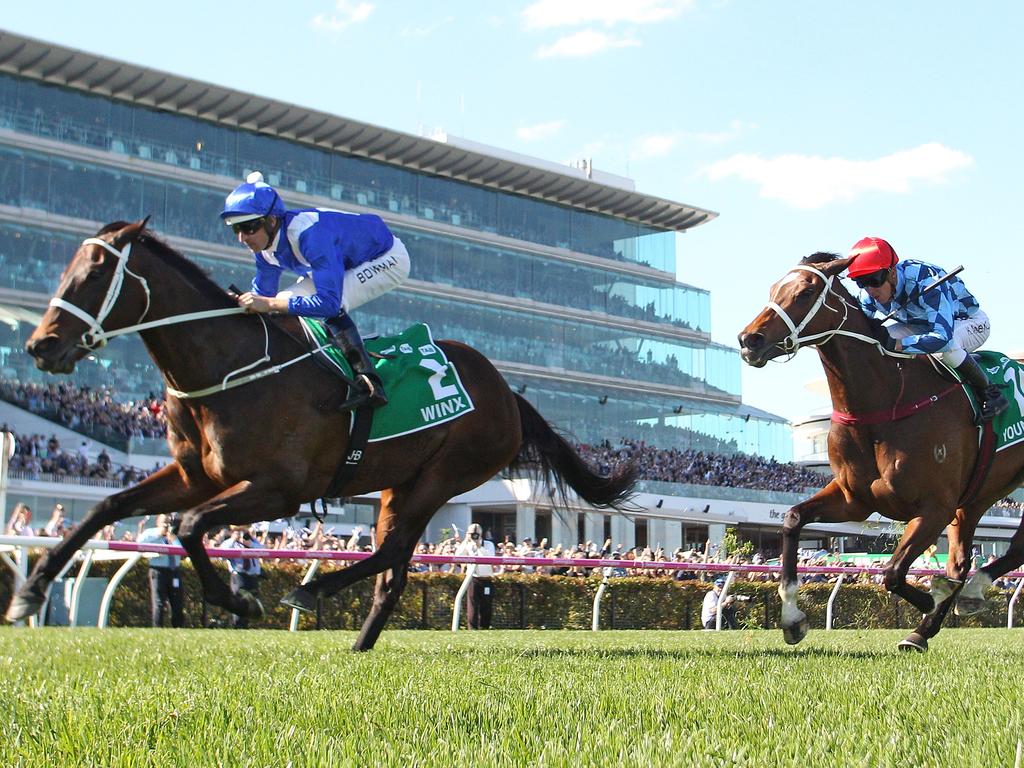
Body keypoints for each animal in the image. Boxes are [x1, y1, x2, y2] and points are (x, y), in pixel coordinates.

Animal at [4, 222, 634, 651]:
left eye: (92, 275)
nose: (39, 345)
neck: (228, 369)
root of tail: (507, 392)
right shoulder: (195, 475)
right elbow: (109, 507)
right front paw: (30, 590)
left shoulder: (279, 489)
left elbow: (187, 526)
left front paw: (238, 598)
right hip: (398, 482)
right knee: (394, 567)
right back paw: (358, 640)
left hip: (444, 475)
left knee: (392, 552)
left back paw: (311, 591)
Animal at [741, 256, 1024, 651]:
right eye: (773, 289)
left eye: (806, 292)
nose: (749, 340)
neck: (886, 400)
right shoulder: (854, 499)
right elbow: (793, 519)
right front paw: (793, 619)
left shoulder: (935, 507)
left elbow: (892, 572)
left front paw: (931, 595)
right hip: (978, 494)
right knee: (965, 559)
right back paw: (933, 621)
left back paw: (966, 593)